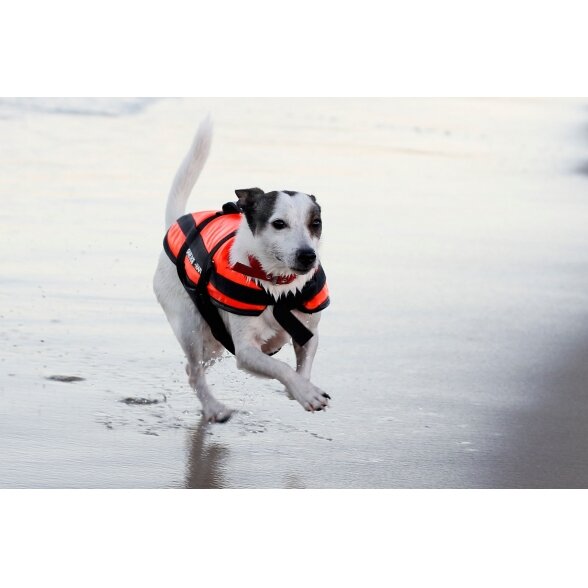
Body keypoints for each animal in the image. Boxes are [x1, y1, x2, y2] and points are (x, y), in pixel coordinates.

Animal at [152, 117, 330, 422]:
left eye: (315, 223)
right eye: (279, 224)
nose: (308, 256)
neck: (276, 287)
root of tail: (176, 223)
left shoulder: (309, 332)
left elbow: (304, 363)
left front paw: (299, 388)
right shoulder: (245, 351)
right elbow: (282, 368)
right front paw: (305, 392)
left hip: (213, 343)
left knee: (193, 368)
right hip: (190, 326)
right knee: (194, 371)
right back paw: (214, 408)